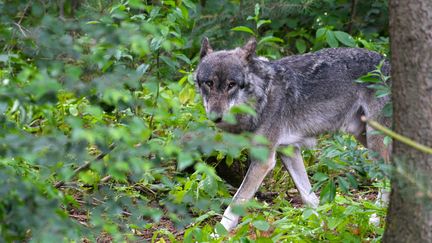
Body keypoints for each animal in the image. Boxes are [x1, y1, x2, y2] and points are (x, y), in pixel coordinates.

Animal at [194, 37, 390, 231]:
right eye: (209, 83)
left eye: (231, 85)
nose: (216, 117)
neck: (262, 96)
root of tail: (386, 61)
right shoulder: (289, 151)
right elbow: (309, 198)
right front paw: (318, 227)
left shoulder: (264, 161)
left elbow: (237, 200)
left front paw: (218, 232)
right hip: (363, 136)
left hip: (375, 142)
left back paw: (375, 218)